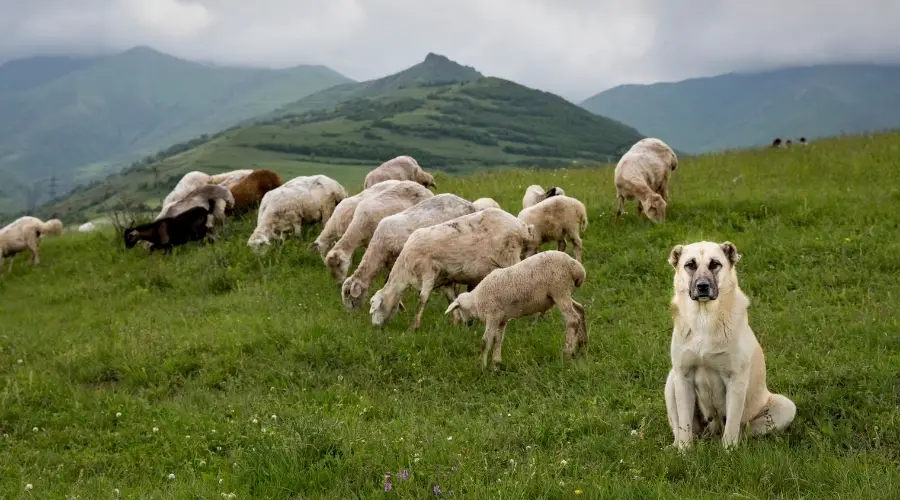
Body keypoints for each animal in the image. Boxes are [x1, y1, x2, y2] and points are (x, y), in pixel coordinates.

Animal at [366, 208, 536, 330]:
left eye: (374, 308)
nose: (374, 327)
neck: (405, 270)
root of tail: (522, 227)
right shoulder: (446, 278)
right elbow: (451, 299)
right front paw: (456, 325)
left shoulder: (429, 272)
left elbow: (422, 300)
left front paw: (413, 327)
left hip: (510, 255)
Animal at [444, 250, 588, 368]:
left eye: (460, 309)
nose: (466, 324)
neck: (476, 300)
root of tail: (576, 267)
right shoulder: (502, 319)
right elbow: (498, 339)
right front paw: (496, 364)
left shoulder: (493, 315)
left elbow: (486, 341)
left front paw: (482, 367)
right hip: (562, 293)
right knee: (580, 310)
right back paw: (582, 344)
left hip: (559, 289)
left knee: (572, 319)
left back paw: (568, 352)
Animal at [660, 240, 796, 452]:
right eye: (690, 265)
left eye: (715, 264)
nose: (702, 286)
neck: (704, 318)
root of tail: (712, 432)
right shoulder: (683, 376)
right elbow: (684, 423)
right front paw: (684, 451)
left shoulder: (736, 379)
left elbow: (732, 422)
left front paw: (728, 452)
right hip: (671, 380)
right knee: (680, 427)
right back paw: (676, 446)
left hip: (785, 406)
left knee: (743, 430)